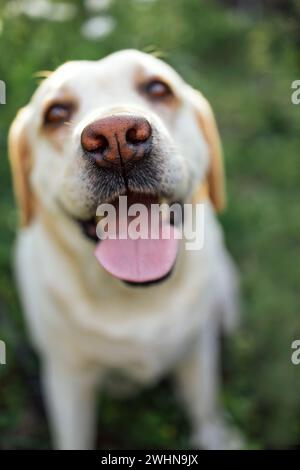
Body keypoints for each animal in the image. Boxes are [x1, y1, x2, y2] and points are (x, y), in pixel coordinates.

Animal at [8, 49, 240, 450]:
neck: (135, 297)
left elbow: (204, 409)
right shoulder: (68, 378)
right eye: (55, 112)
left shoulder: (197, 351)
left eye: (158, 88)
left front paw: (216, 437)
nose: (115, 135)